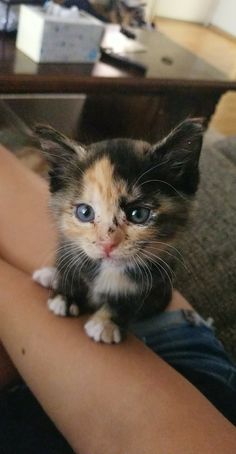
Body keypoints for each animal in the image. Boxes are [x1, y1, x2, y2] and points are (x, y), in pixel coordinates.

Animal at [32, 119, 203, 342]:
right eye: (85, 212)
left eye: (138, 214)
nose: (107, 244)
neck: (109, 270)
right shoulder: (68, 245)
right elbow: (71, 266)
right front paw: (66, 296)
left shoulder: (158, 280)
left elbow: (132, 301)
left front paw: (106, 322)